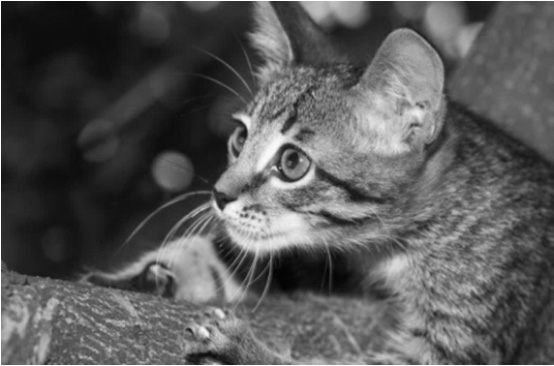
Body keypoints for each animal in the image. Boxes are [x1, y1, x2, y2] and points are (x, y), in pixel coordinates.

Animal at [83, 2, 552, 364]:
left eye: (292, 163)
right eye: (240, 139)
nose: (219, 194)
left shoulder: (461, 338)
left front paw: (243, 350)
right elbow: (216, 256)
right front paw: (139, 276)